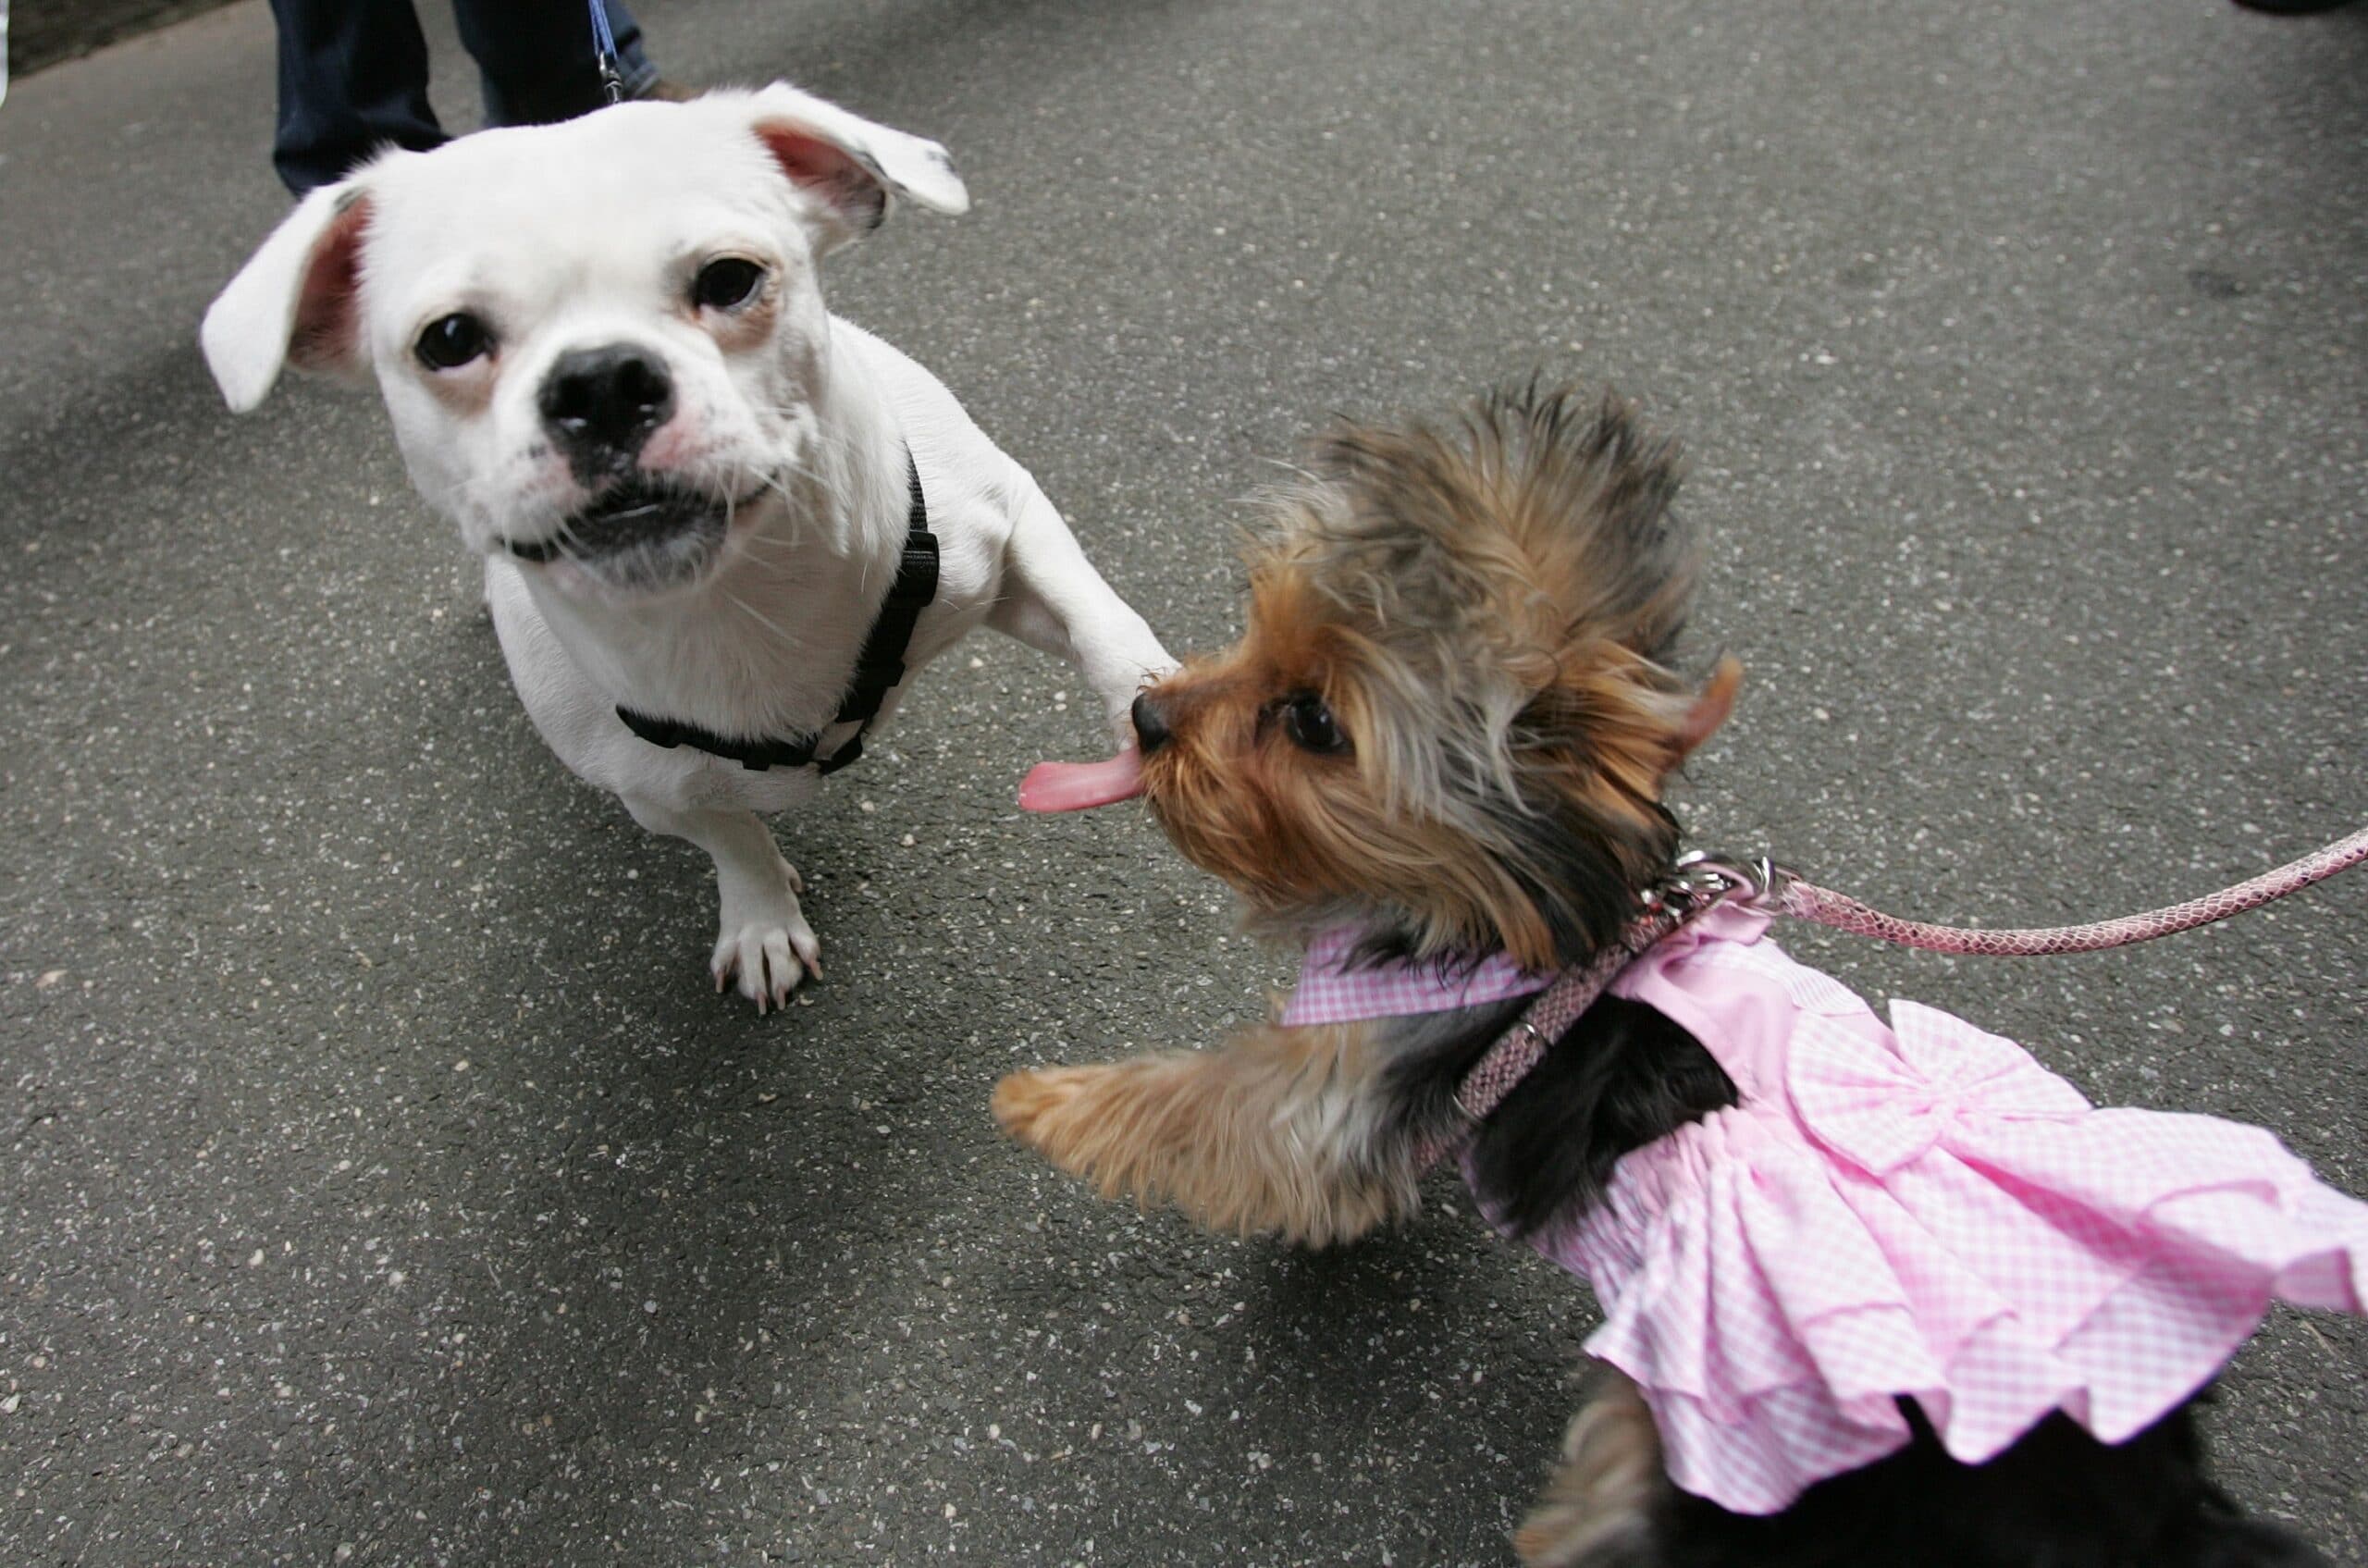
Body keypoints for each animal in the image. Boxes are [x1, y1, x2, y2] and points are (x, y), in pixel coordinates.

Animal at [199, 85, 1169, 1013]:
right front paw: (762, 918)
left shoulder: (1005, 526)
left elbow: (1098, 619)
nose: (600, 380)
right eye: (449, 340)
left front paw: (1158, 699)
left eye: (731, 279)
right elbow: (731, 839)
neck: (740, 594)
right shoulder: (653, 791)